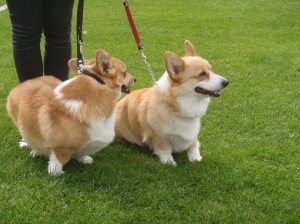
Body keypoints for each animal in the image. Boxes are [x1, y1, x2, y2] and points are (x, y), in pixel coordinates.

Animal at [6, 49, 135, 175]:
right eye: (124, 72)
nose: (135, 79)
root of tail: (23, 84)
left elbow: (81, 151)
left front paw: (83, 158)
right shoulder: (61, 148)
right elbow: (58, 161)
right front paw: (56, 173)